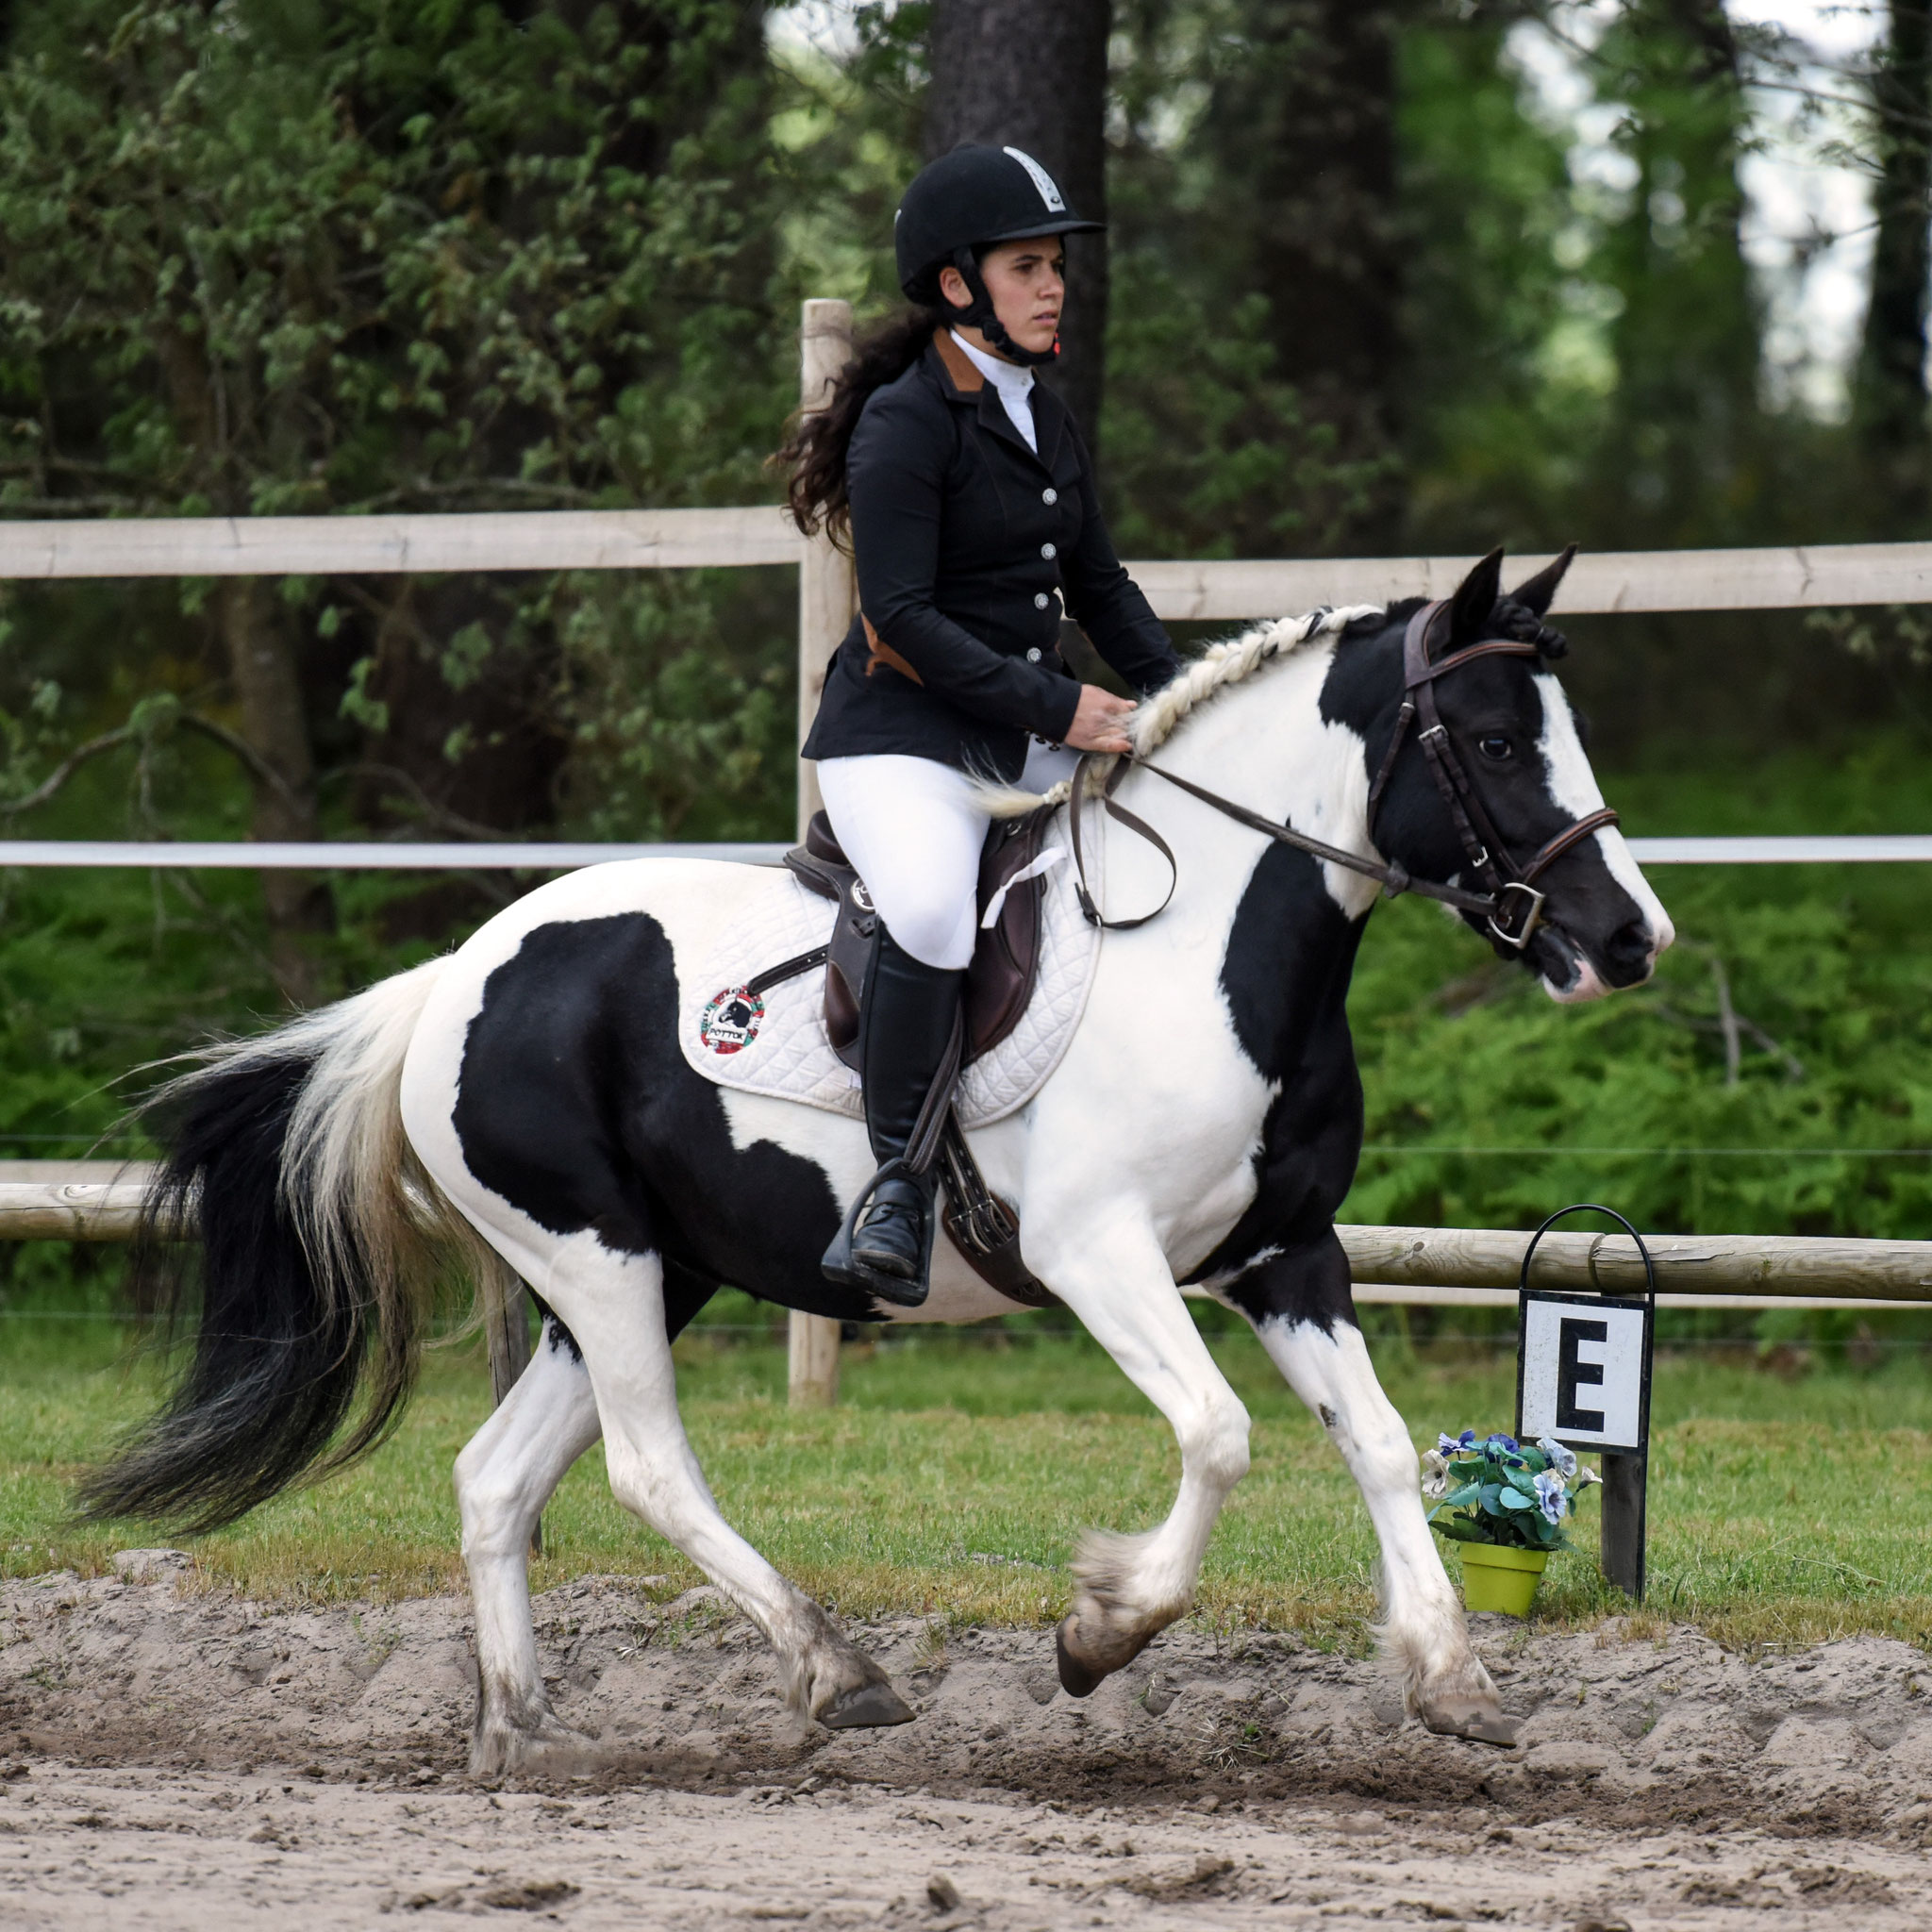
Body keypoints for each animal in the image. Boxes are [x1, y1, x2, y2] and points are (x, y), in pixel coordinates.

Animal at [83, 552, 1669, 1769]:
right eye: (1496, 744)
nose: (1631, 939)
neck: (1213, 951)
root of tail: (446, 981)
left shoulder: (1286, 1256)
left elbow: (1384, 1444)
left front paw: (1453, 1679)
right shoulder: (1097, 1253)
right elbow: (1219, 1435)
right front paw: (1101, 1629)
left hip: (649, 1272)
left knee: (495, 1481)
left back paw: (521, 1733)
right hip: (598, 1262)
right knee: (649, 1470)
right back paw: (834, 1674)